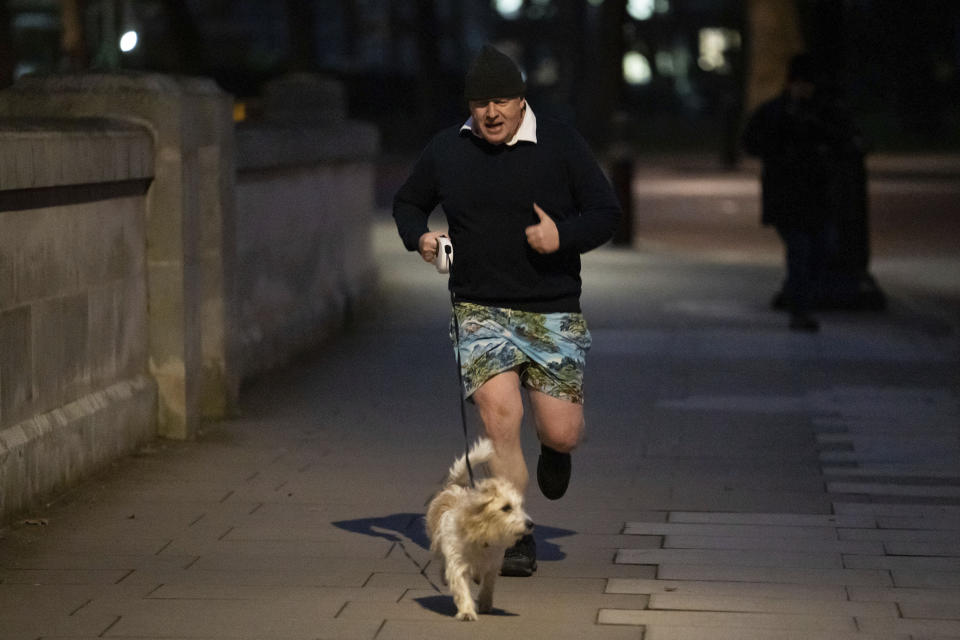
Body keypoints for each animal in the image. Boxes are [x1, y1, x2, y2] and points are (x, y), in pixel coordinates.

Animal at [426, 438, 532, 624]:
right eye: (506, 507)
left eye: (520, 506)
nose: (530, 524)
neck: (482, 535)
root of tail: (457, 485)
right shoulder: (458, 562)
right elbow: (461, 587)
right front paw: (467, 611)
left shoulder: (493, 563)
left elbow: (488, 585)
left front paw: (485, 603)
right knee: (443, 562)